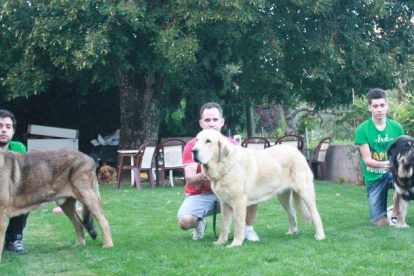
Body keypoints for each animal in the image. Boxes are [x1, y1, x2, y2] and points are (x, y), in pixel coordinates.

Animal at [192, 129, 326, 248]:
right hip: (282, 195)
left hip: (305, 191)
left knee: (316, 214)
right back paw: (292, 232)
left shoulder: (239, 202)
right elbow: (224, 226)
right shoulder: (224, 203)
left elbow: (238, 224)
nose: (194, 151)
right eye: (197, 140)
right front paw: (220, 242)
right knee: (292, 212)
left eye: (208, 141)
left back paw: (320, 236)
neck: (224, 166)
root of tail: (297, 152)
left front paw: (235, 244)